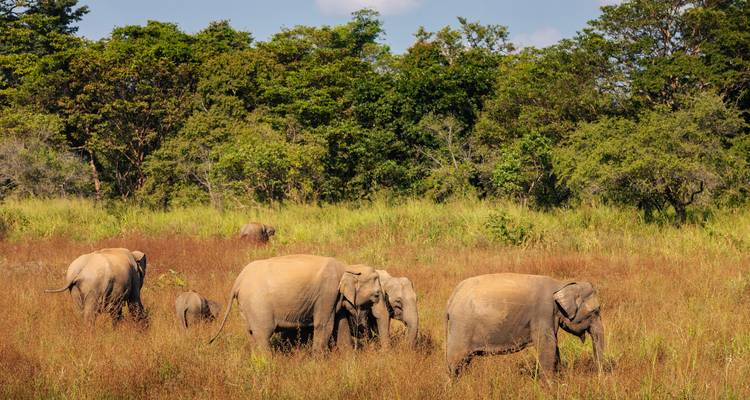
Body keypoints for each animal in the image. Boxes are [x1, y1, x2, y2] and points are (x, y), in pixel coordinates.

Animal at [209, 254, 390, 352]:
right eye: (376, 295)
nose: (381, 351)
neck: (347, 266)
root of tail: (238, 281)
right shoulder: (327, 292)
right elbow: (325, 325)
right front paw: (318, 361)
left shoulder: (334, 298)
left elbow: (341, 326)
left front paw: (347, 358)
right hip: (257, 304)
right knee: (262, 334)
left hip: (246, 307)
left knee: (251, 334)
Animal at [445, 273, 605, 378]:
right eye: (596, 311)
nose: (599, 376)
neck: (562, 284)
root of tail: (451, 298)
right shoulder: (543, 312)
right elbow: (548, 345)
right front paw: (550, 387)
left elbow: (554, 345)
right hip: (461, 328)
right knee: (455, 361)